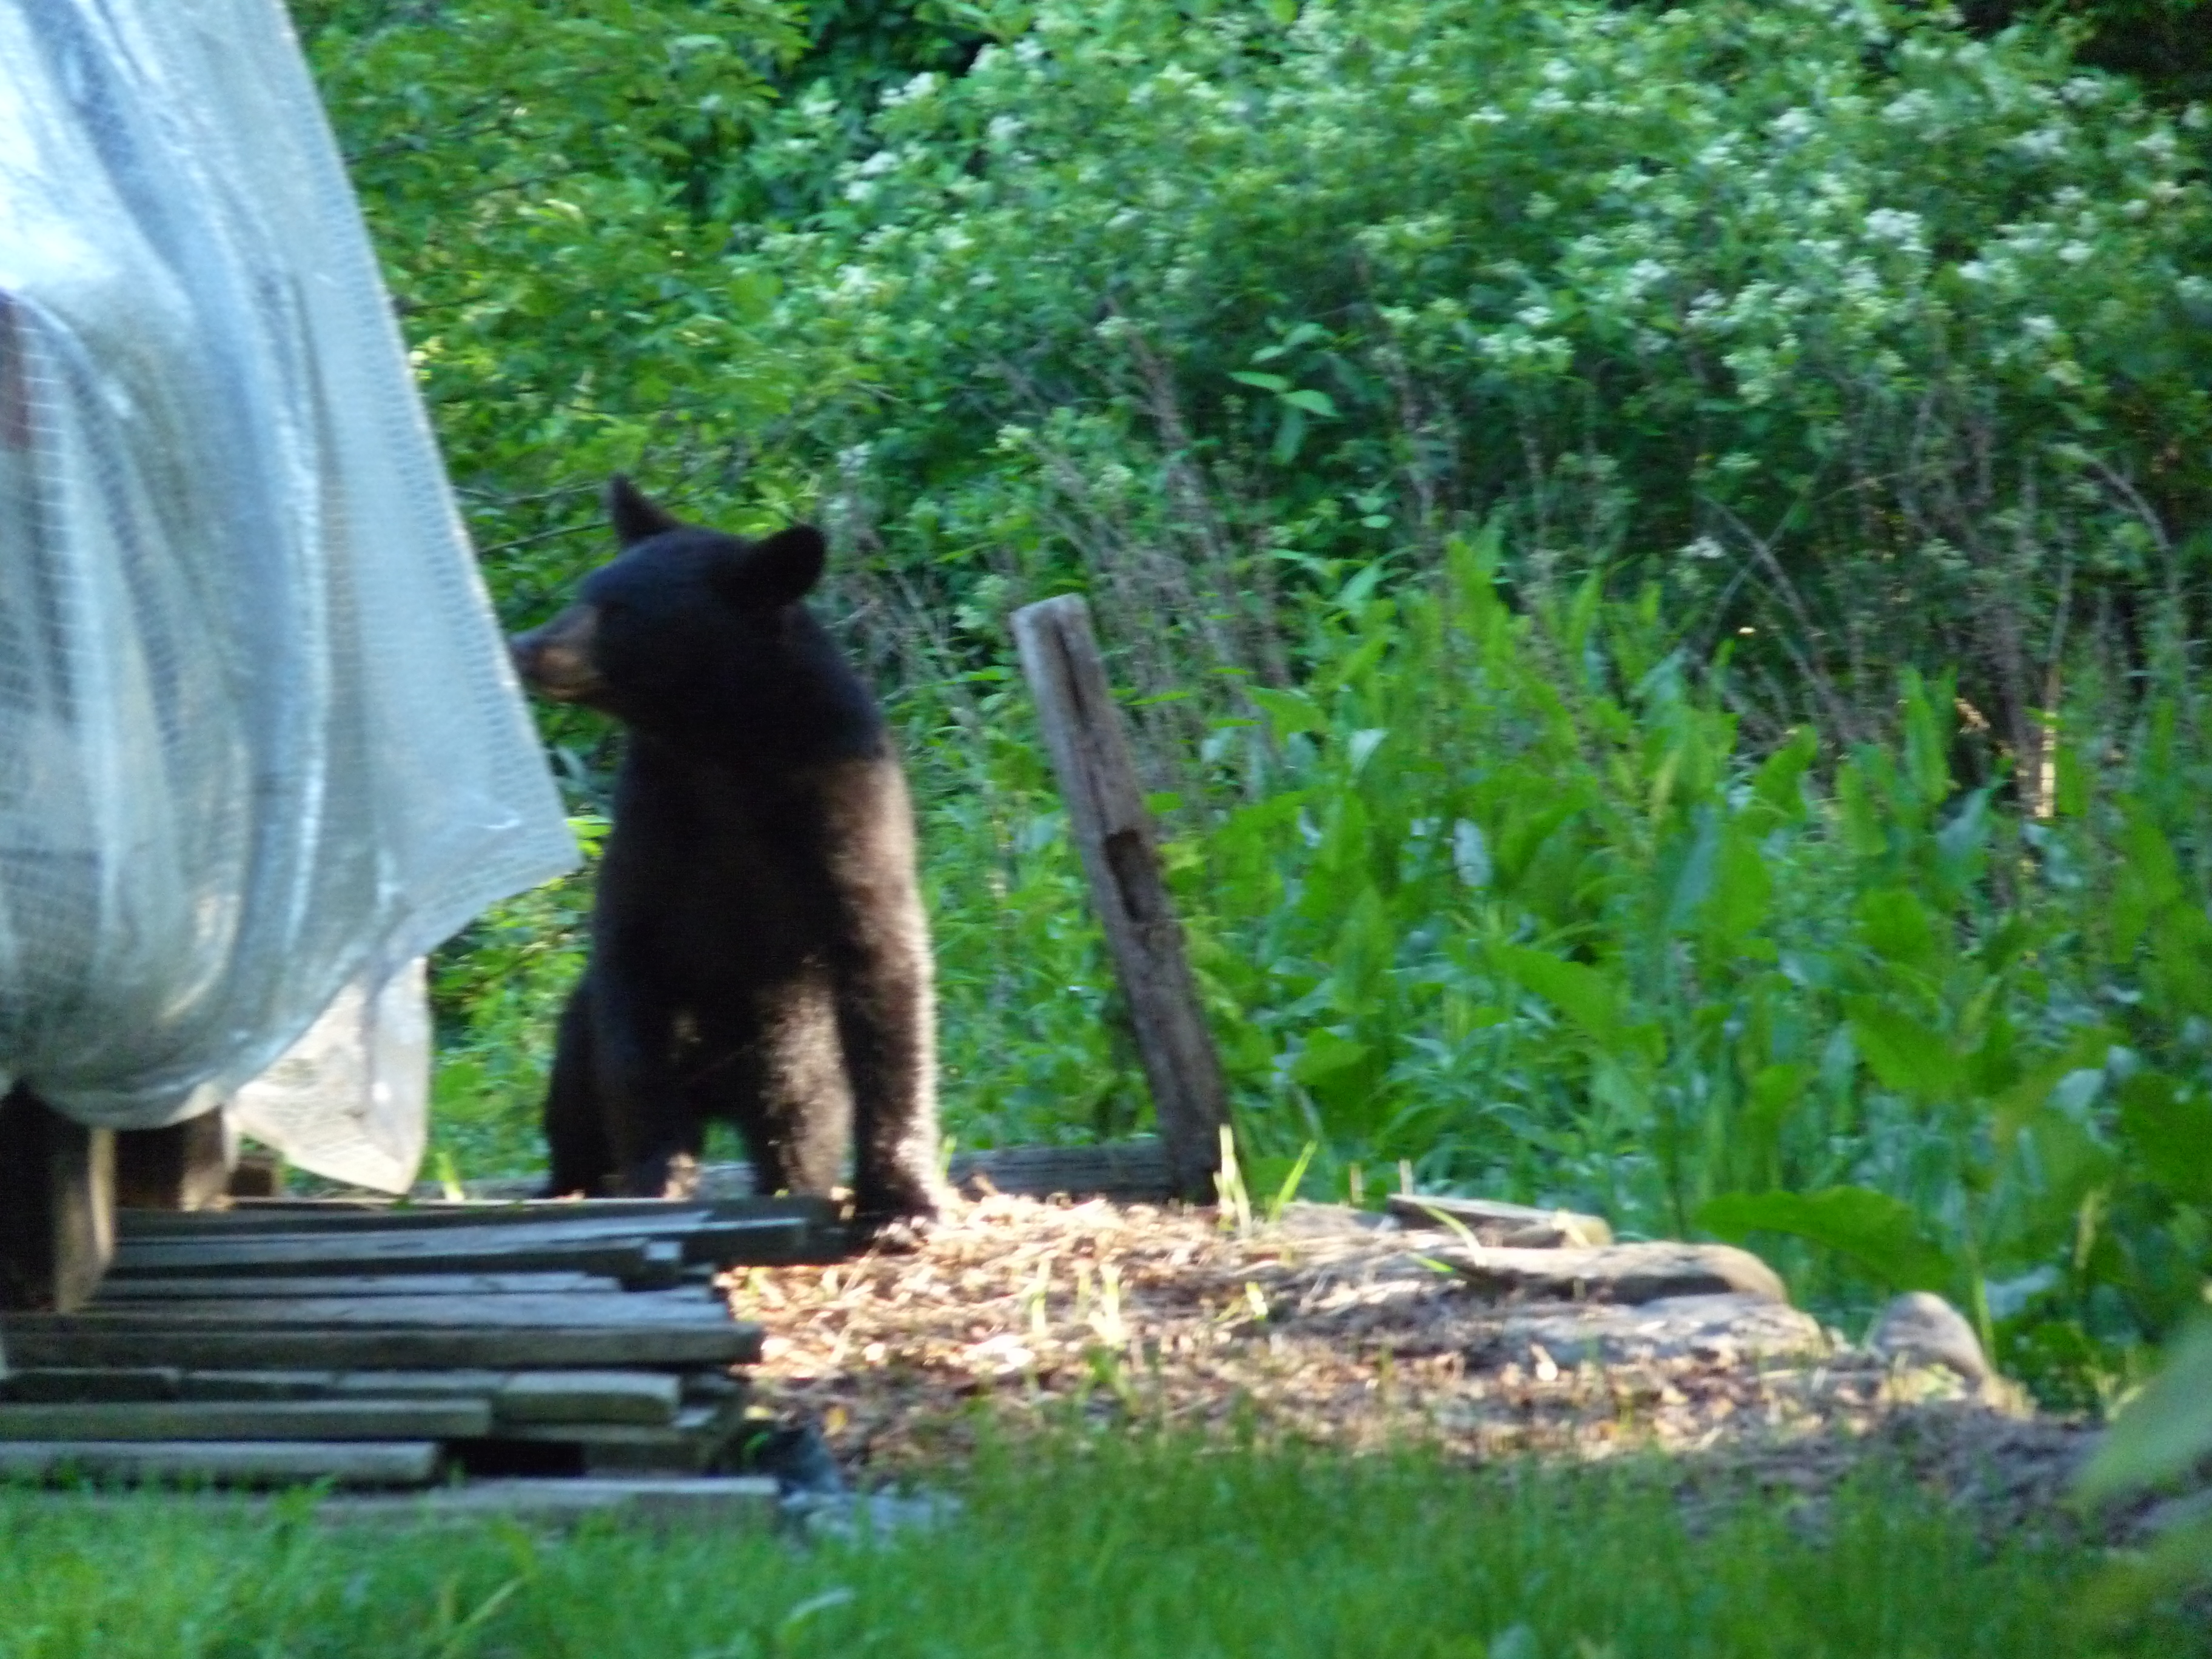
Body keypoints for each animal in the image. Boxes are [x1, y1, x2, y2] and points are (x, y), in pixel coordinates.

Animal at [507, 477, 946, 1220]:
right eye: (586, 590)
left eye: (619, 609)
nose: (523, 645)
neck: (721, 746)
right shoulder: (654, 819)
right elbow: (631, 985)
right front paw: (659, 1175)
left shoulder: (845, 805)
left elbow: (885, 971)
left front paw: (903, 1195)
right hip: (591, 1032)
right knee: (575, 1093)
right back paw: (570, 1182)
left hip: (790, 1042)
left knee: (797, 1115)